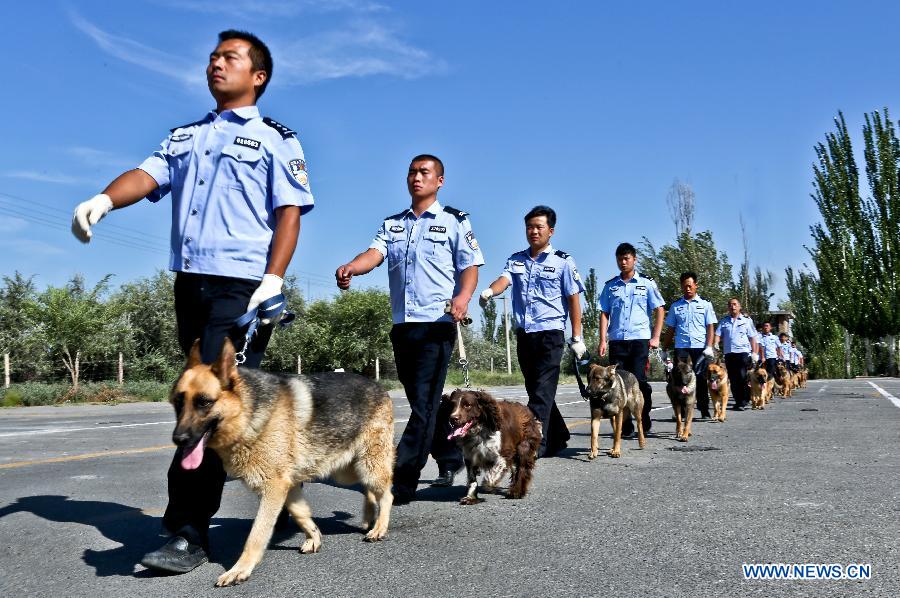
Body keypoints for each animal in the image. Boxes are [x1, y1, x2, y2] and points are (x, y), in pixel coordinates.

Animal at [171, 340, 392, 588]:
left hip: (368, 464)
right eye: (178, 403)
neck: (247, 413)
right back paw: (368, 518)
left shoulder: (274, 488)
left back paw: (379, 527)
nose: (178, 440)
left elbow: (257, 533)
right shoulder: (287, 485)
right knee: (369, 490)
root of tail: (378, 385)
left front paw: (240, 569)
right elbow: (300, 513)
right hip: (347, 471)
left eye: (204, 402)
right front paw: (314, 537)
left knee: (386, 493)